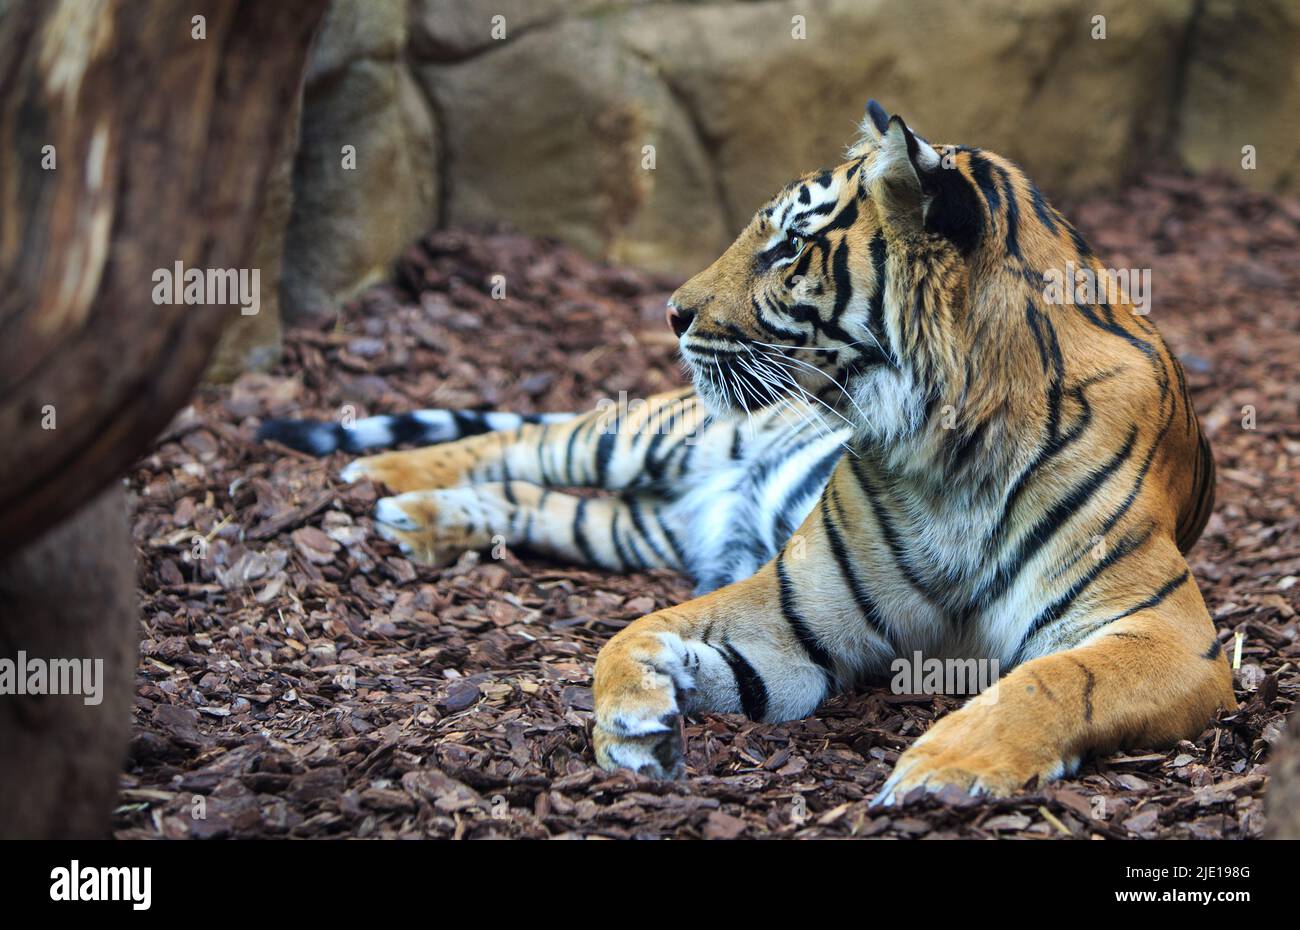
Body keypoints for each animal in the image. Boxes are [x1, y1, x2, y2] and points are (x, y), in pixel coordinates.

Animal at [261, 98, 1227, 806]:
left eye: (791, 245)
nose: (672, 312)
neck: (947, 440)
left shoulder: (1170, 634)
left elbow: (1055, 681)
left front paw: (943, 769)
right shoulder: (796, 604)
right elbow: (629, 632)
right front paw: (633, 720)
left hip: (631, 524)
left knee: (536, 502)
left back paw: (419, 519)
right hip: (643, 433)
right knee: (523, 438)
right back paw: (385, 478)